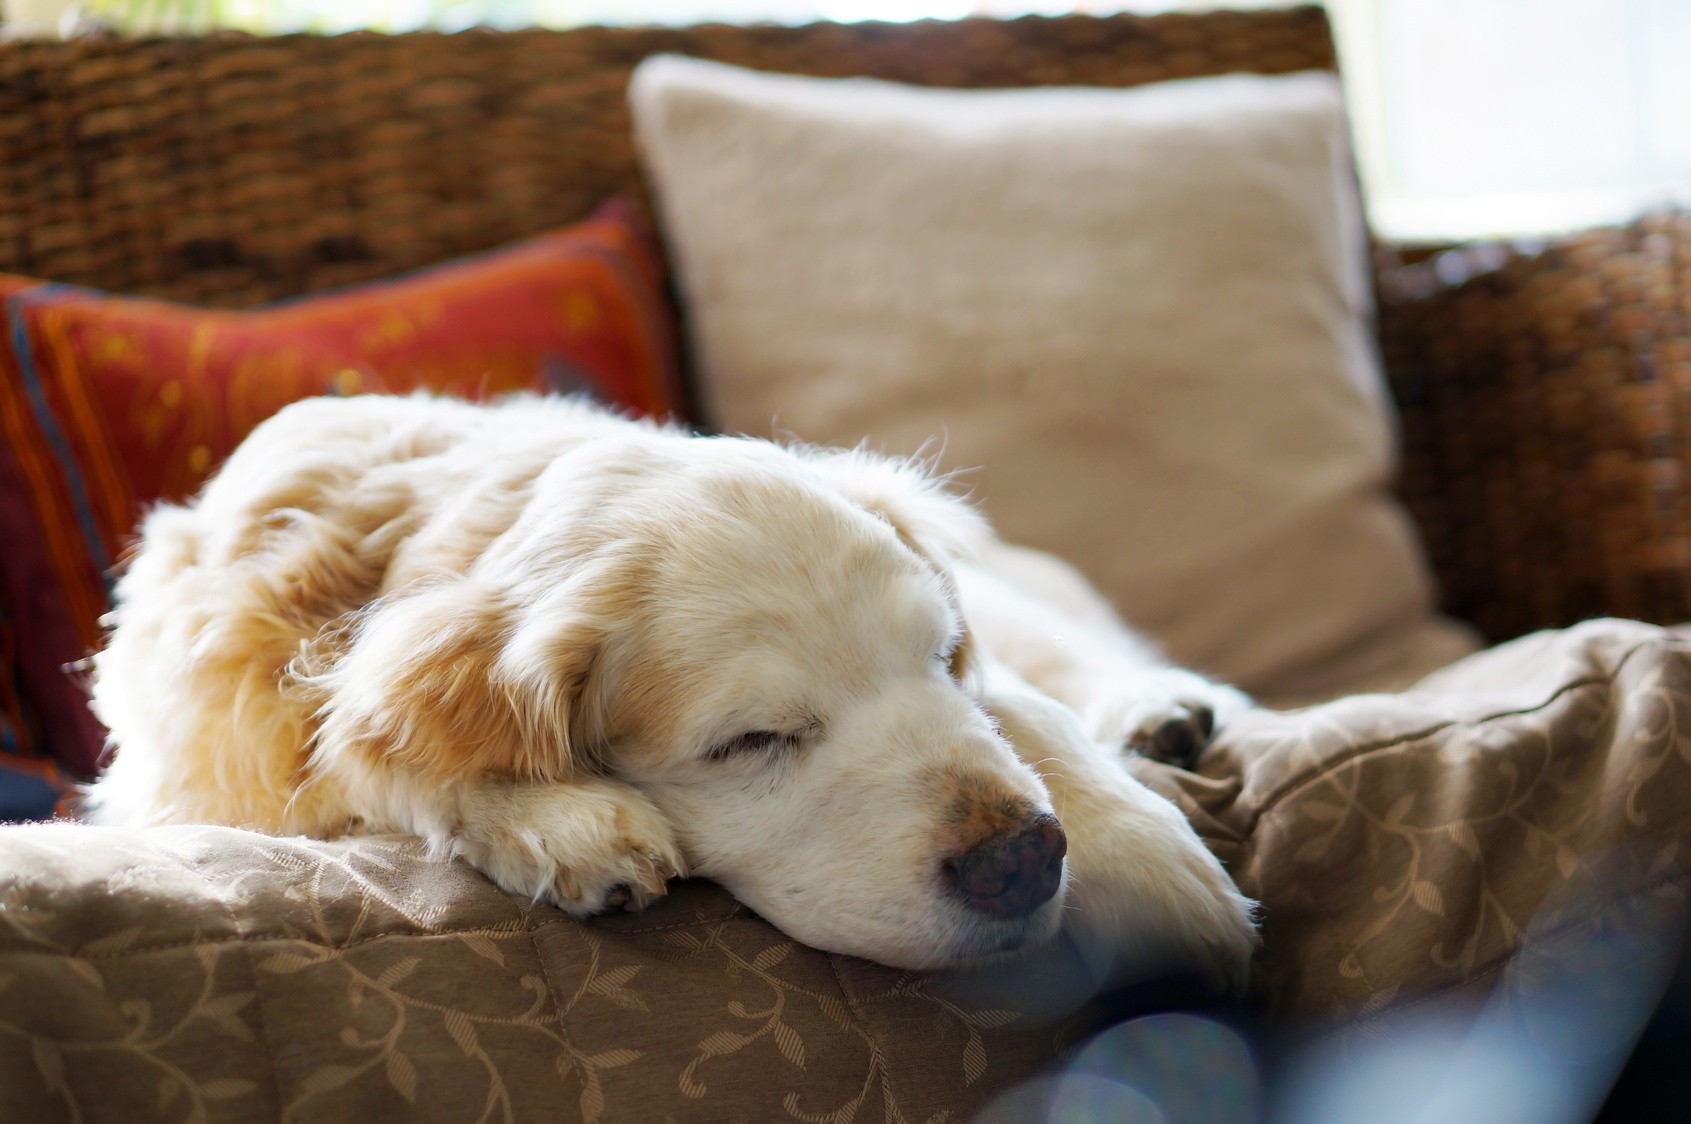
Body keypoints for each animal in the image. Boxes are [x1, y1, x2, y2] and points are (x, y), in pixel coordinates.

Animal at [85, 392, 1264, 980]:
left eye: (935, 661)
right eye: (752, 741)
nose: (1019, 858)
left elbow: (1019, 709)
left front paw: (1147, 856)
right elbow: (364, 753)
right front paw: (555, 817)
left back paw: (1162, 709)